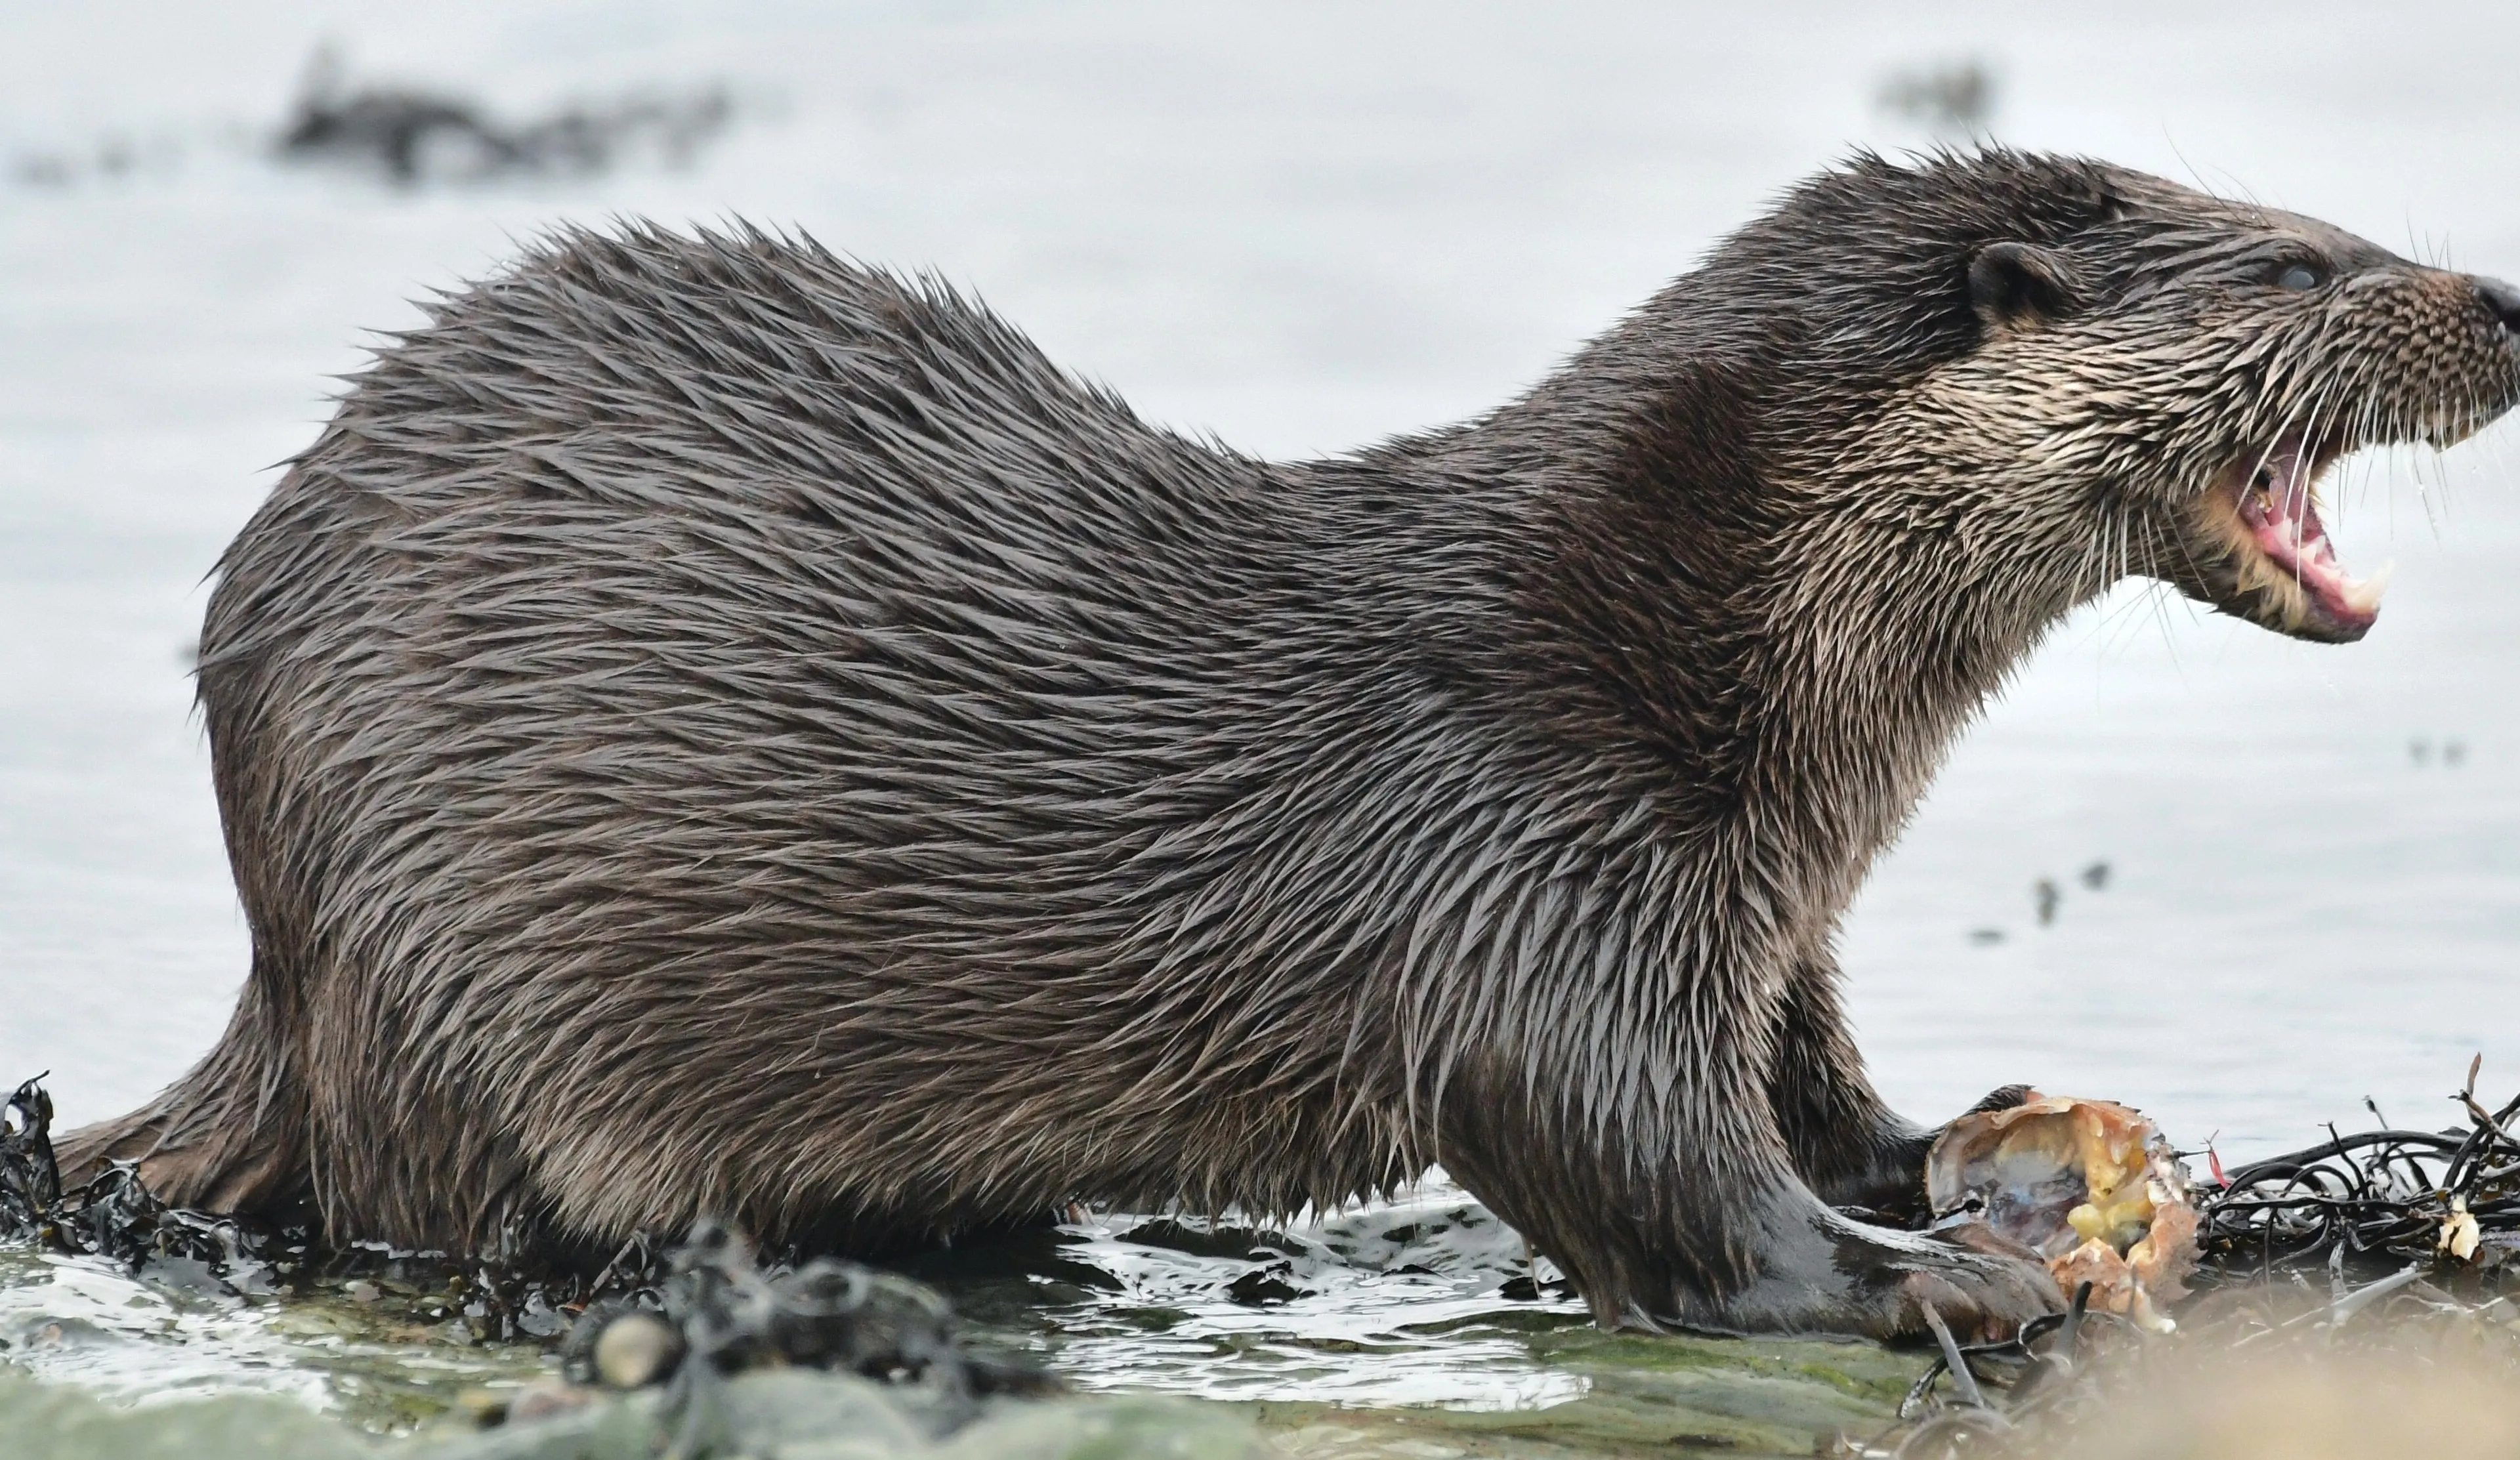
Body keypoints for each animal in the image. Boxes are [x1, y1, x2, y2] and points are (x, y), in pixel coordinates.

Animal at [62, 150, 2520, 1340]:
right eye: (2300, 266)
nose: (2497, 296)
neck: (1682, 658)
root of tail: (278, 938)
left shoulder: (1756, 913)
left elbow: (1812, 1079)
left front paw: (1958, 1159)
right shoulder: (1534, 870)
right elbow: (1650, 1179)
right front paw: (1938, 1278)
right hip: (429, 981)